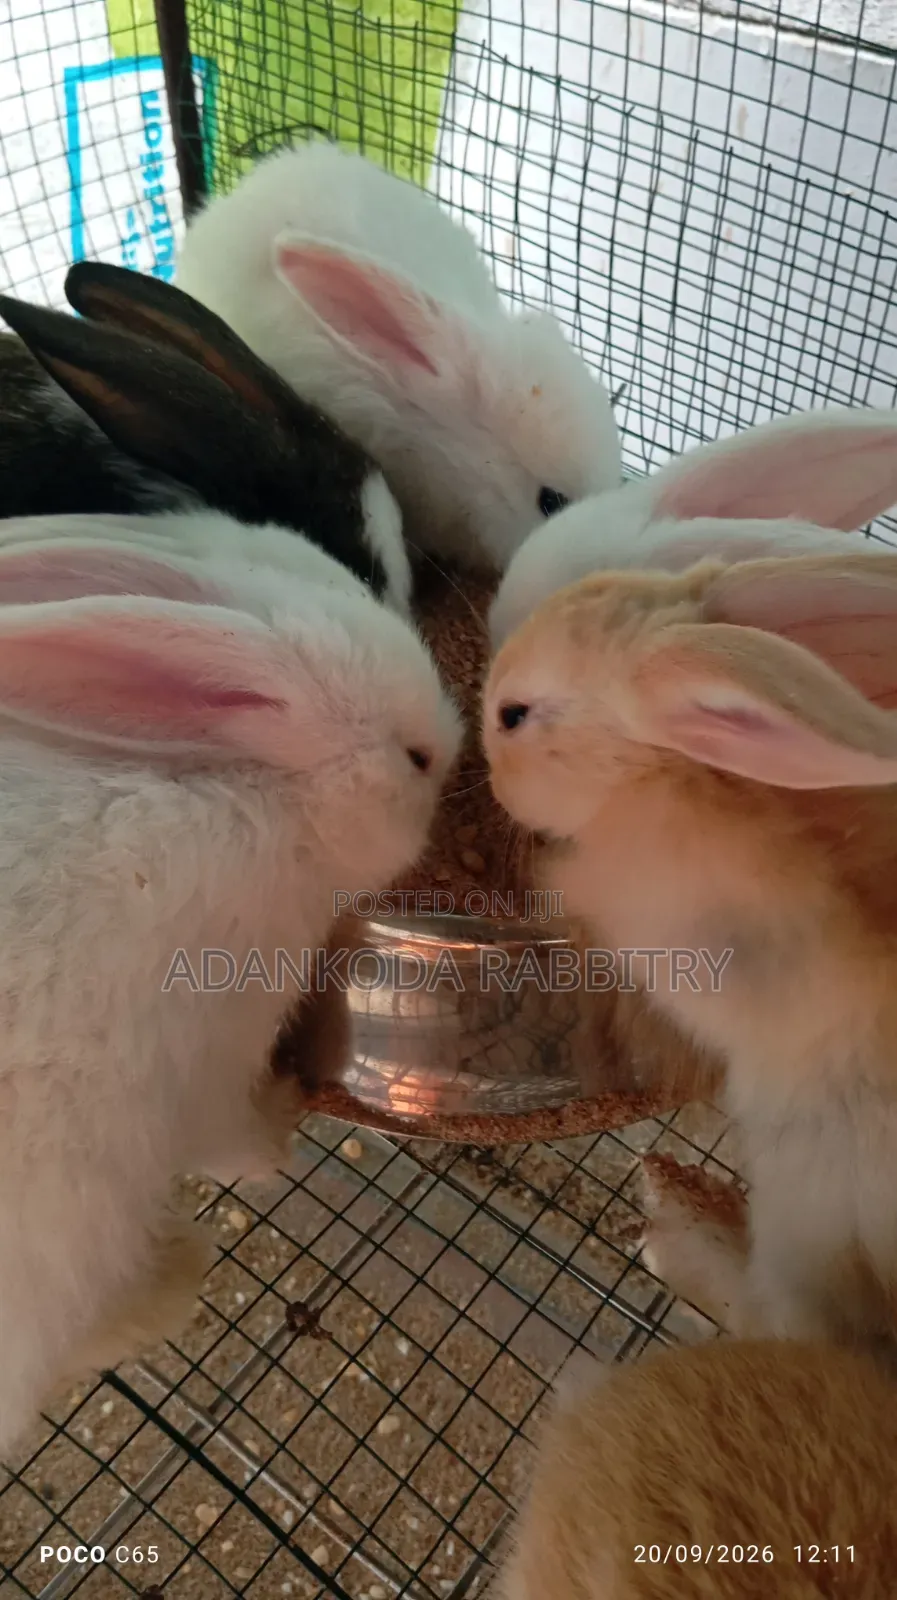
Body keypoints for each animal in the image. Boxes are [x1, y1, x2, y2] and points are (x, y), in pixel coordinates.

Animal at [0, 531, 460, 1464]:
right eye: (415, 759)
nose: (458, 744)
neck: (262, 793)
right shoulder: (209, 1047)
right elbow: (235, 1144)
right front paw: (284, 1119)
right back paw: (174, 1280)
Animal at [484, 541, 897, 1356]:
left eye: (513, 715)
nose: (485, 774)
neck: (658, 770)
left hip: (806, 1212)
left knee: (782, 1323)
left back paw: (679, 1231)